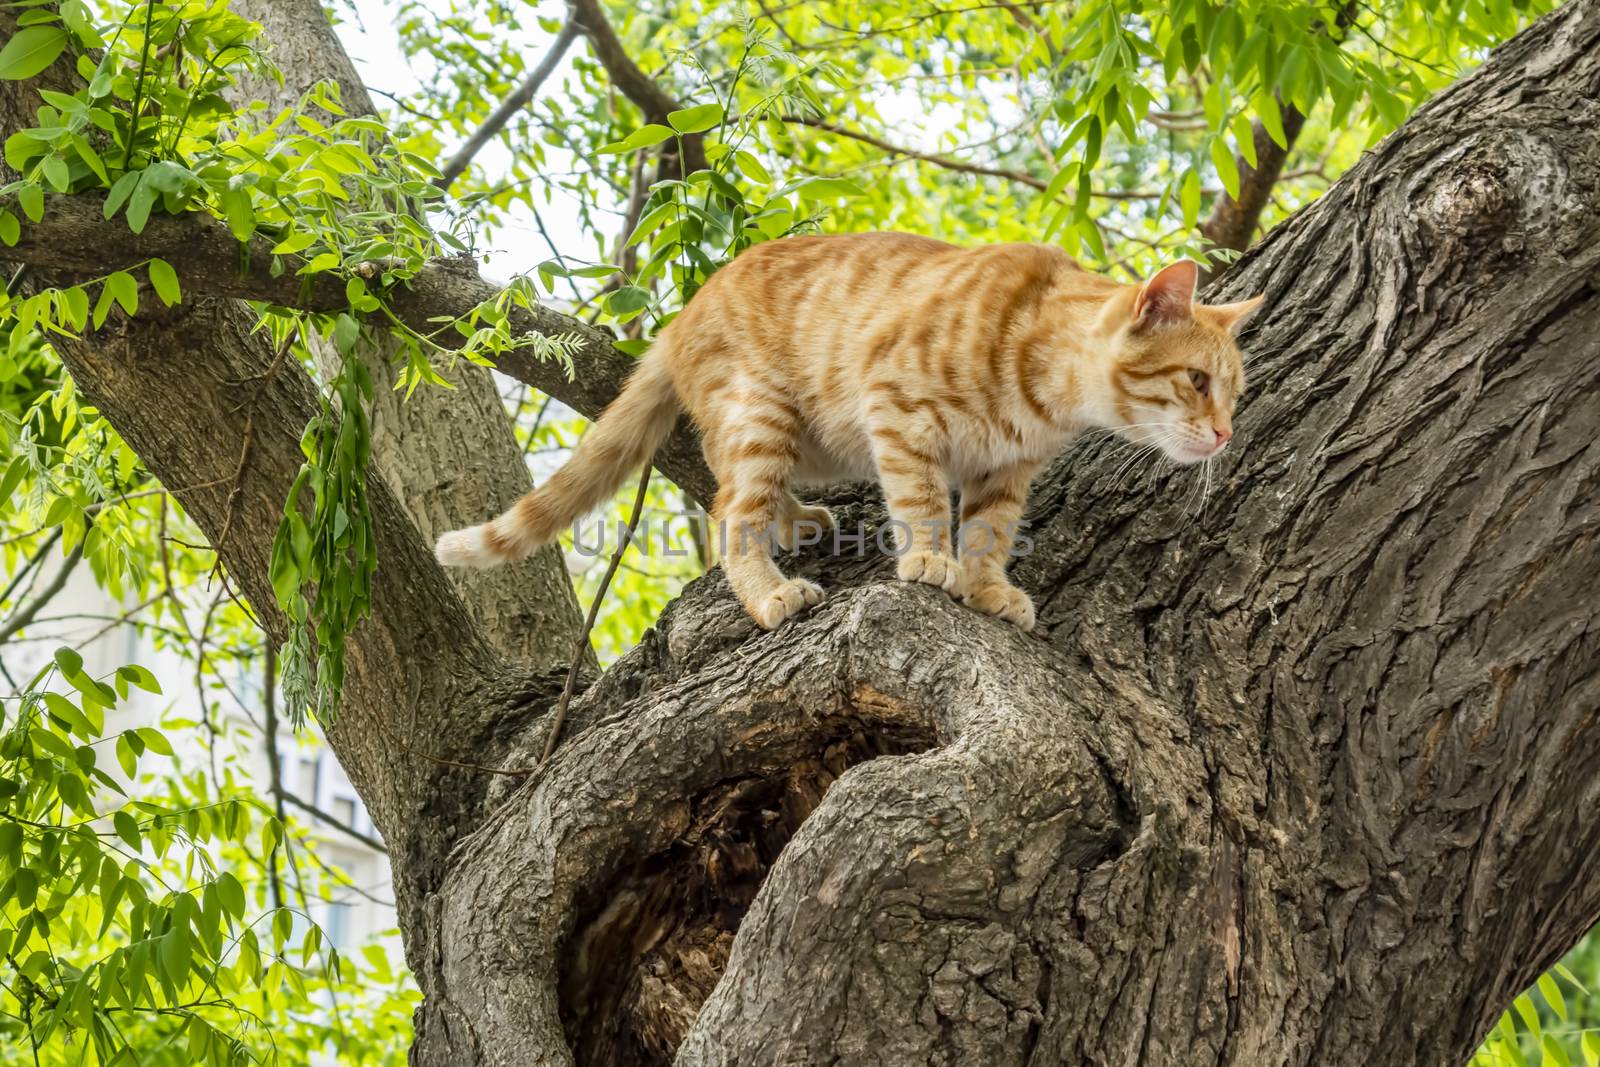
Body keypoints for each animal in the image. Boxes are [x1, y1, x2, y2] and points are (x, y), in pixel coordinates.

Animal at [438, 231, 1260, 630]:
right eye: (1197, 381)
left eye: (1235, 392)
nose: (1223, 435)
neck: (1044, 393)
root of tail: (683, 314)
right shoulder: (896, 406)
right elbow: (923, 501)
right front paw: (930, 560)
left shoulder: (1004, 472)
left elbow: (989, 532)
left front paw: (988, 586)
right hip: (764, 412)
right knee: (728, 511)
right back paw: (769, 591)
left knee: (733, 486)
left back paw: (796, 518)